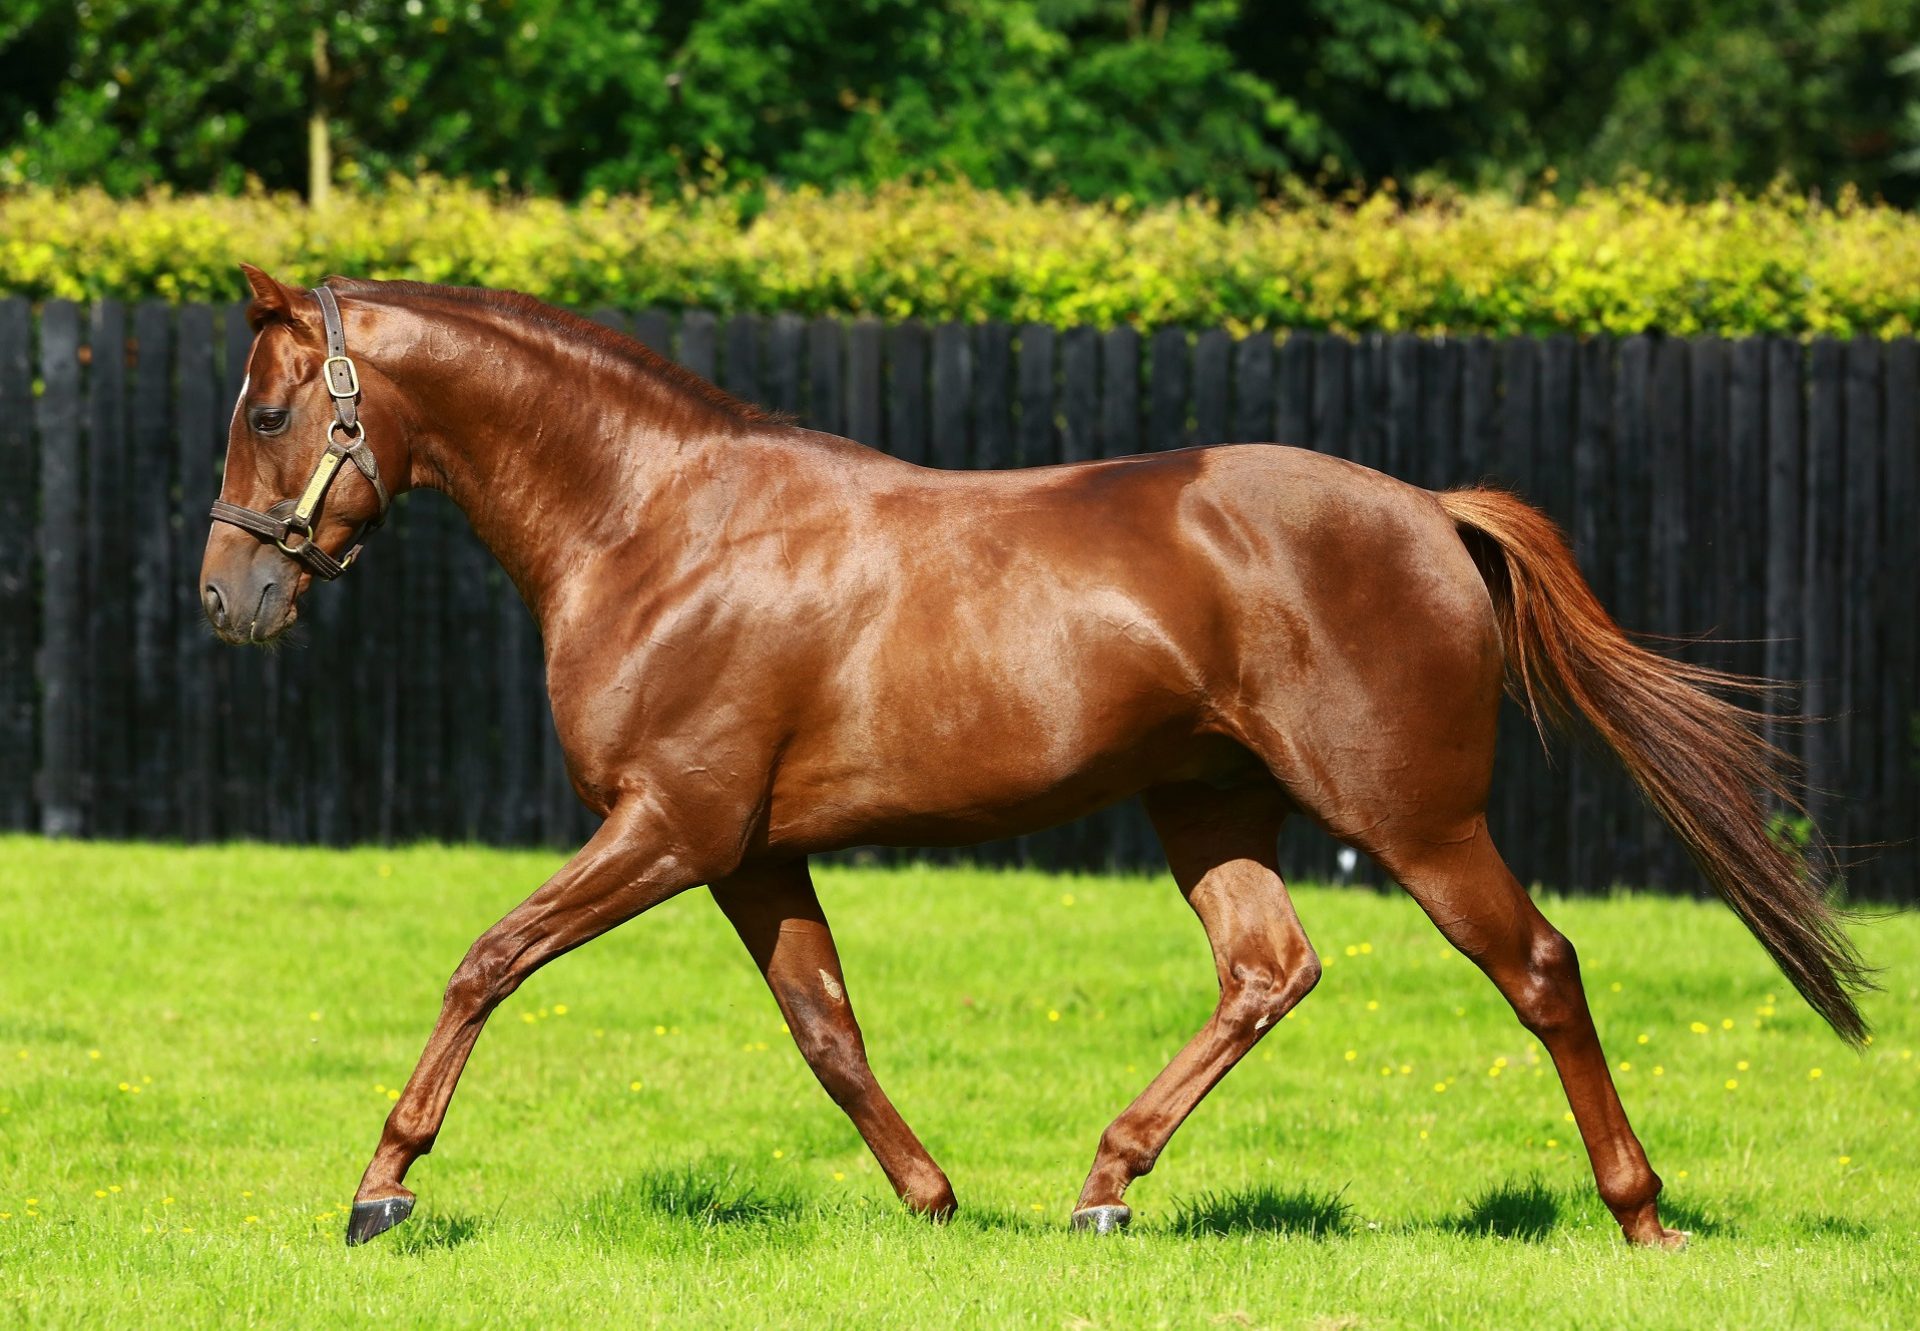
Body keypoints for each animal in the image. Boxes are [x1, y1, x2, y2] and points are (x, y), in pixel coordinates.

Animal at [202, 266, 1866, 1244]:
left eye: (273, 410)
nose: (231, 598)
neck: (659, 528)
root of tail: (1431, 510)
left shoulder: (670, 825)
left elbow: (487, 958)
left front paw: (382, 1184)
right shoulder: (745, 849)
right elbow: (827, 1028)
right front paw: (935, 1200)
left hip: (1415, 816)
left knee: (1539, 967)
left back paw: (1640, 1214)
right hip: (1207, 805)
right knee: (1269, 967)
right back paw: (1104, 1186)